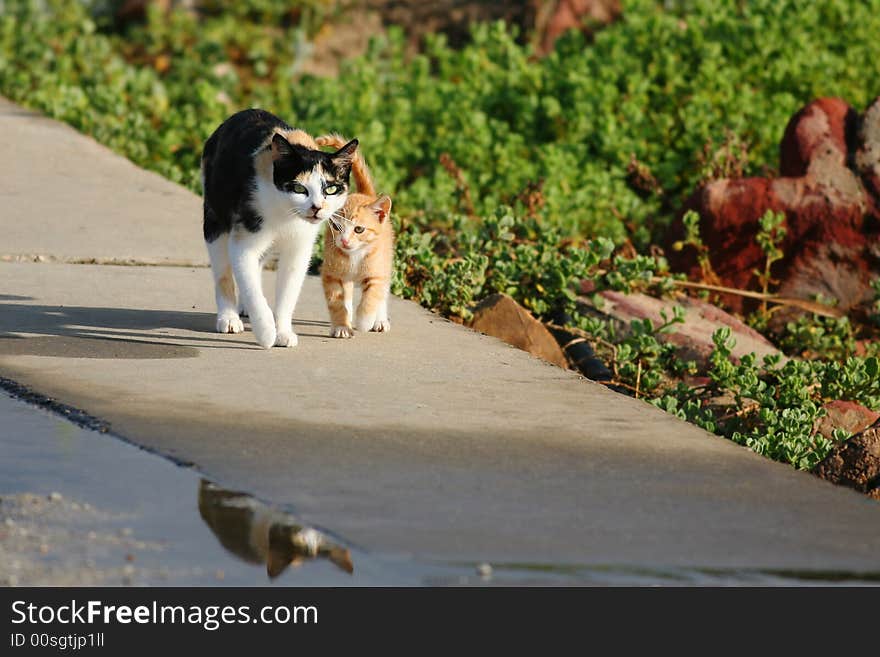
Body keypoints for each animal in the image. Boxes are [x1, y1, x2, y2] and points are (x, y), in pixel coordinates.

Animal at [202, 109, 358, 348]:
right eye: (299, 188)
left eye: (331, 189)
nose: (317, 207)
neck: (287, 215)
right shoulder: (243, 243)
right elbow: (251, 287)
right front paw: (266, 332)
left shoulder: (299, 251)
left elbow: (287, 295)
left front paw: (283, 332)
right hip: (215, 216)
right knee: (224, 274)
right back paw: (229, 318)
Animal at [314, 133, 394, 338]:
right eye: (336, 227)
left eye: (358, 230)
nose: (344, 240)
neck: (355, 256)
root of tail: (366, 195)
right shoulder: (331, 274)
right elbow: (336, 302)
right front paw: (342, 325)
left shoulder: (376, 274)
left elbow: (371, 298)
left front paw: (365, 320)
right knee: (348, 294)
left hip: (385, 263)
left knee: (382, 293)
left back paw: (379, 320)